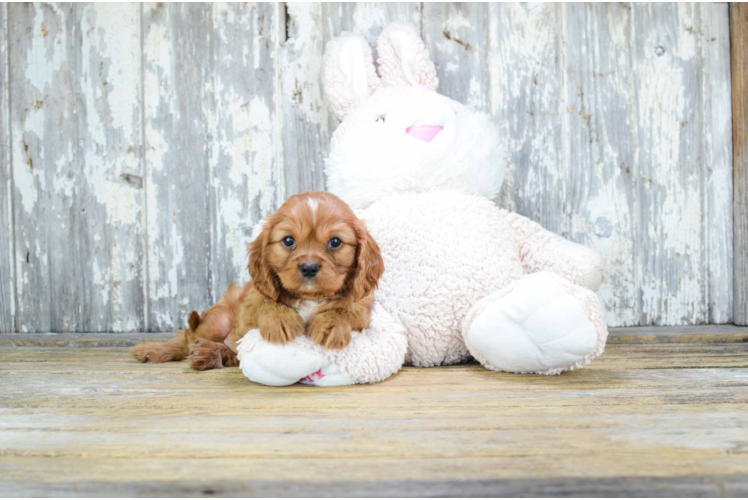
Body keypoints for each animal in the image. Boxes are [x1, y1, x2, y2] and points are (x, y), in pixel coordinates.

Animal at [131, 191, 382, 372]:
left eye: (335, 242)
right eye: (288, 241)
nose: (309, 267)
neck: (309, 298)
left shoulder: (362, 309)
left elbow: (347, 308)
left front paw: (331, 323)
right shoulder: (249, 304)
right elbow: (264, 303)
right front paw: (280, 319)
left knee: (229, 353)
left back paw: (208, 354)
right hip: (217, 321)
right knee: (188, 338)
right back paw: (154, 350)